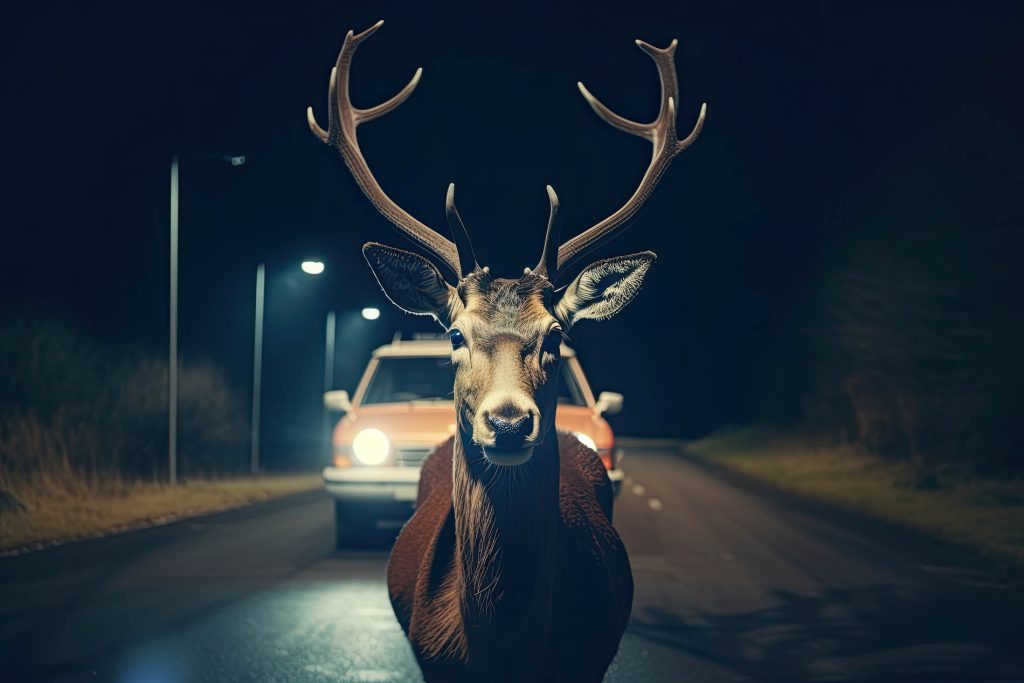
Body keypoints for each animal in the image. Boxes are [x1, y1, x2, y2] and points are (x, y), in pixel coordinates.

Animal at [307, 20, 705, 683]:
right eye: (455, 334)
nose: (511, 422)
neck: (503, 648)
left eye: (557, 335)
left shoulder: (591, 660)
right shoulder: (432, 661)